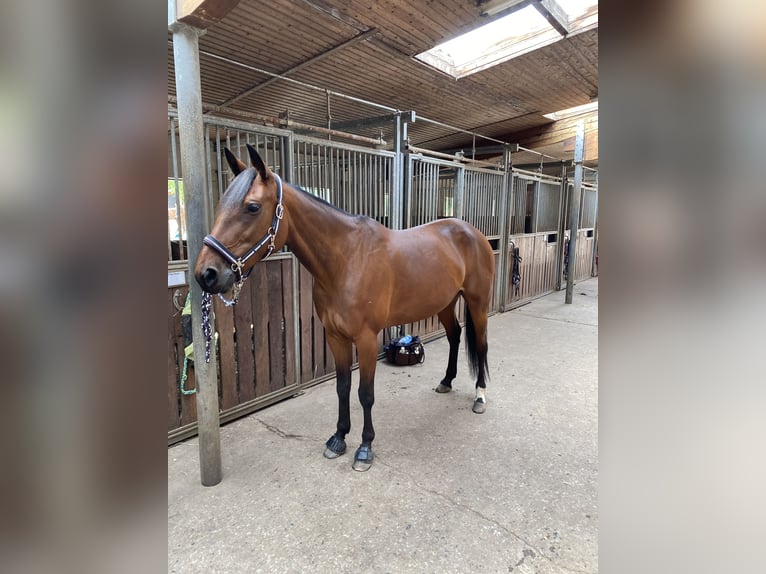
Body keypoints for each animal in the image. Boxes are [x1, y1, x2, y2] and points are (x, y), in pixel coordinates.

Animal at [194, 145, 495, 471]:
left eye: (252, 207)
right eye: (222, 203)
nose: (206, 274)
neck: (347, 259)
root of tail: (471, 232)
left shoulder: (366, 339)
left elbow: (365, 394)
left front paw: (364, 448)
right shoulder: (335, 337)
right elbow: (342, 388)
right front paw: (338, 438)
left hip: (478, 303)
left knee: (481, 344)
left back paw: (480, 396)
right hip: (445, 303)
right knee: (455, 336)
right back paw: (446, 381)